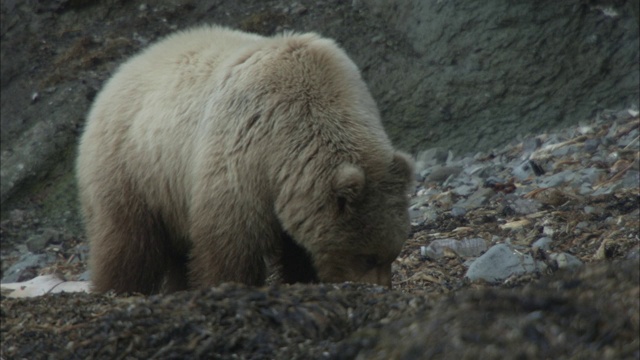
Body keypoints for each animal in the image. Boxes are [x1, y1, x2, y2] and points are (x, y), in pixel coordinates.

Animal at [76, 26, 416, 296]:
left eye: (392, 252)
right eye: (367, 256)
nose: (382, 288)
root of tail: (123, 69)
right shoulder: (243, 153)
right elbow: (230, 239)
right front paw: (226, 284)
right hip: (132, 167)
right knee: (127, 241)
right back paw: (116, 288)